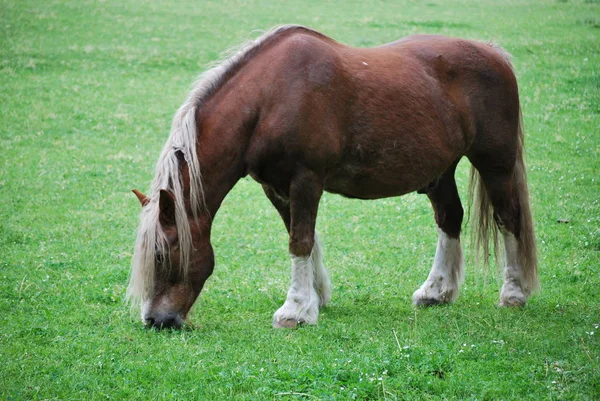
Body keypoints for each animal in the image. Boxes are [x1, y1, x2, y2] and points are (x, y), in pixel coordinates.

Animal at [127, 25, 540, 332]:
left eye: (161, 254)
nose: (157, 320)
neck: (269, 99)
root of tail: (493, 53)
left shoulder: (306, 180)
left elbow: (300, 240)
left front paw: (294, 310)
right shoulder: (276, 187)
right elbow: (303, 237)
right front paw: (315, 297)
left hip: (496, 164)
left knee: (508, 219)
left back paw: (513, 294)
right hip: (440, 171)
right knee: (449, 219)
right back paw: (436, 291)